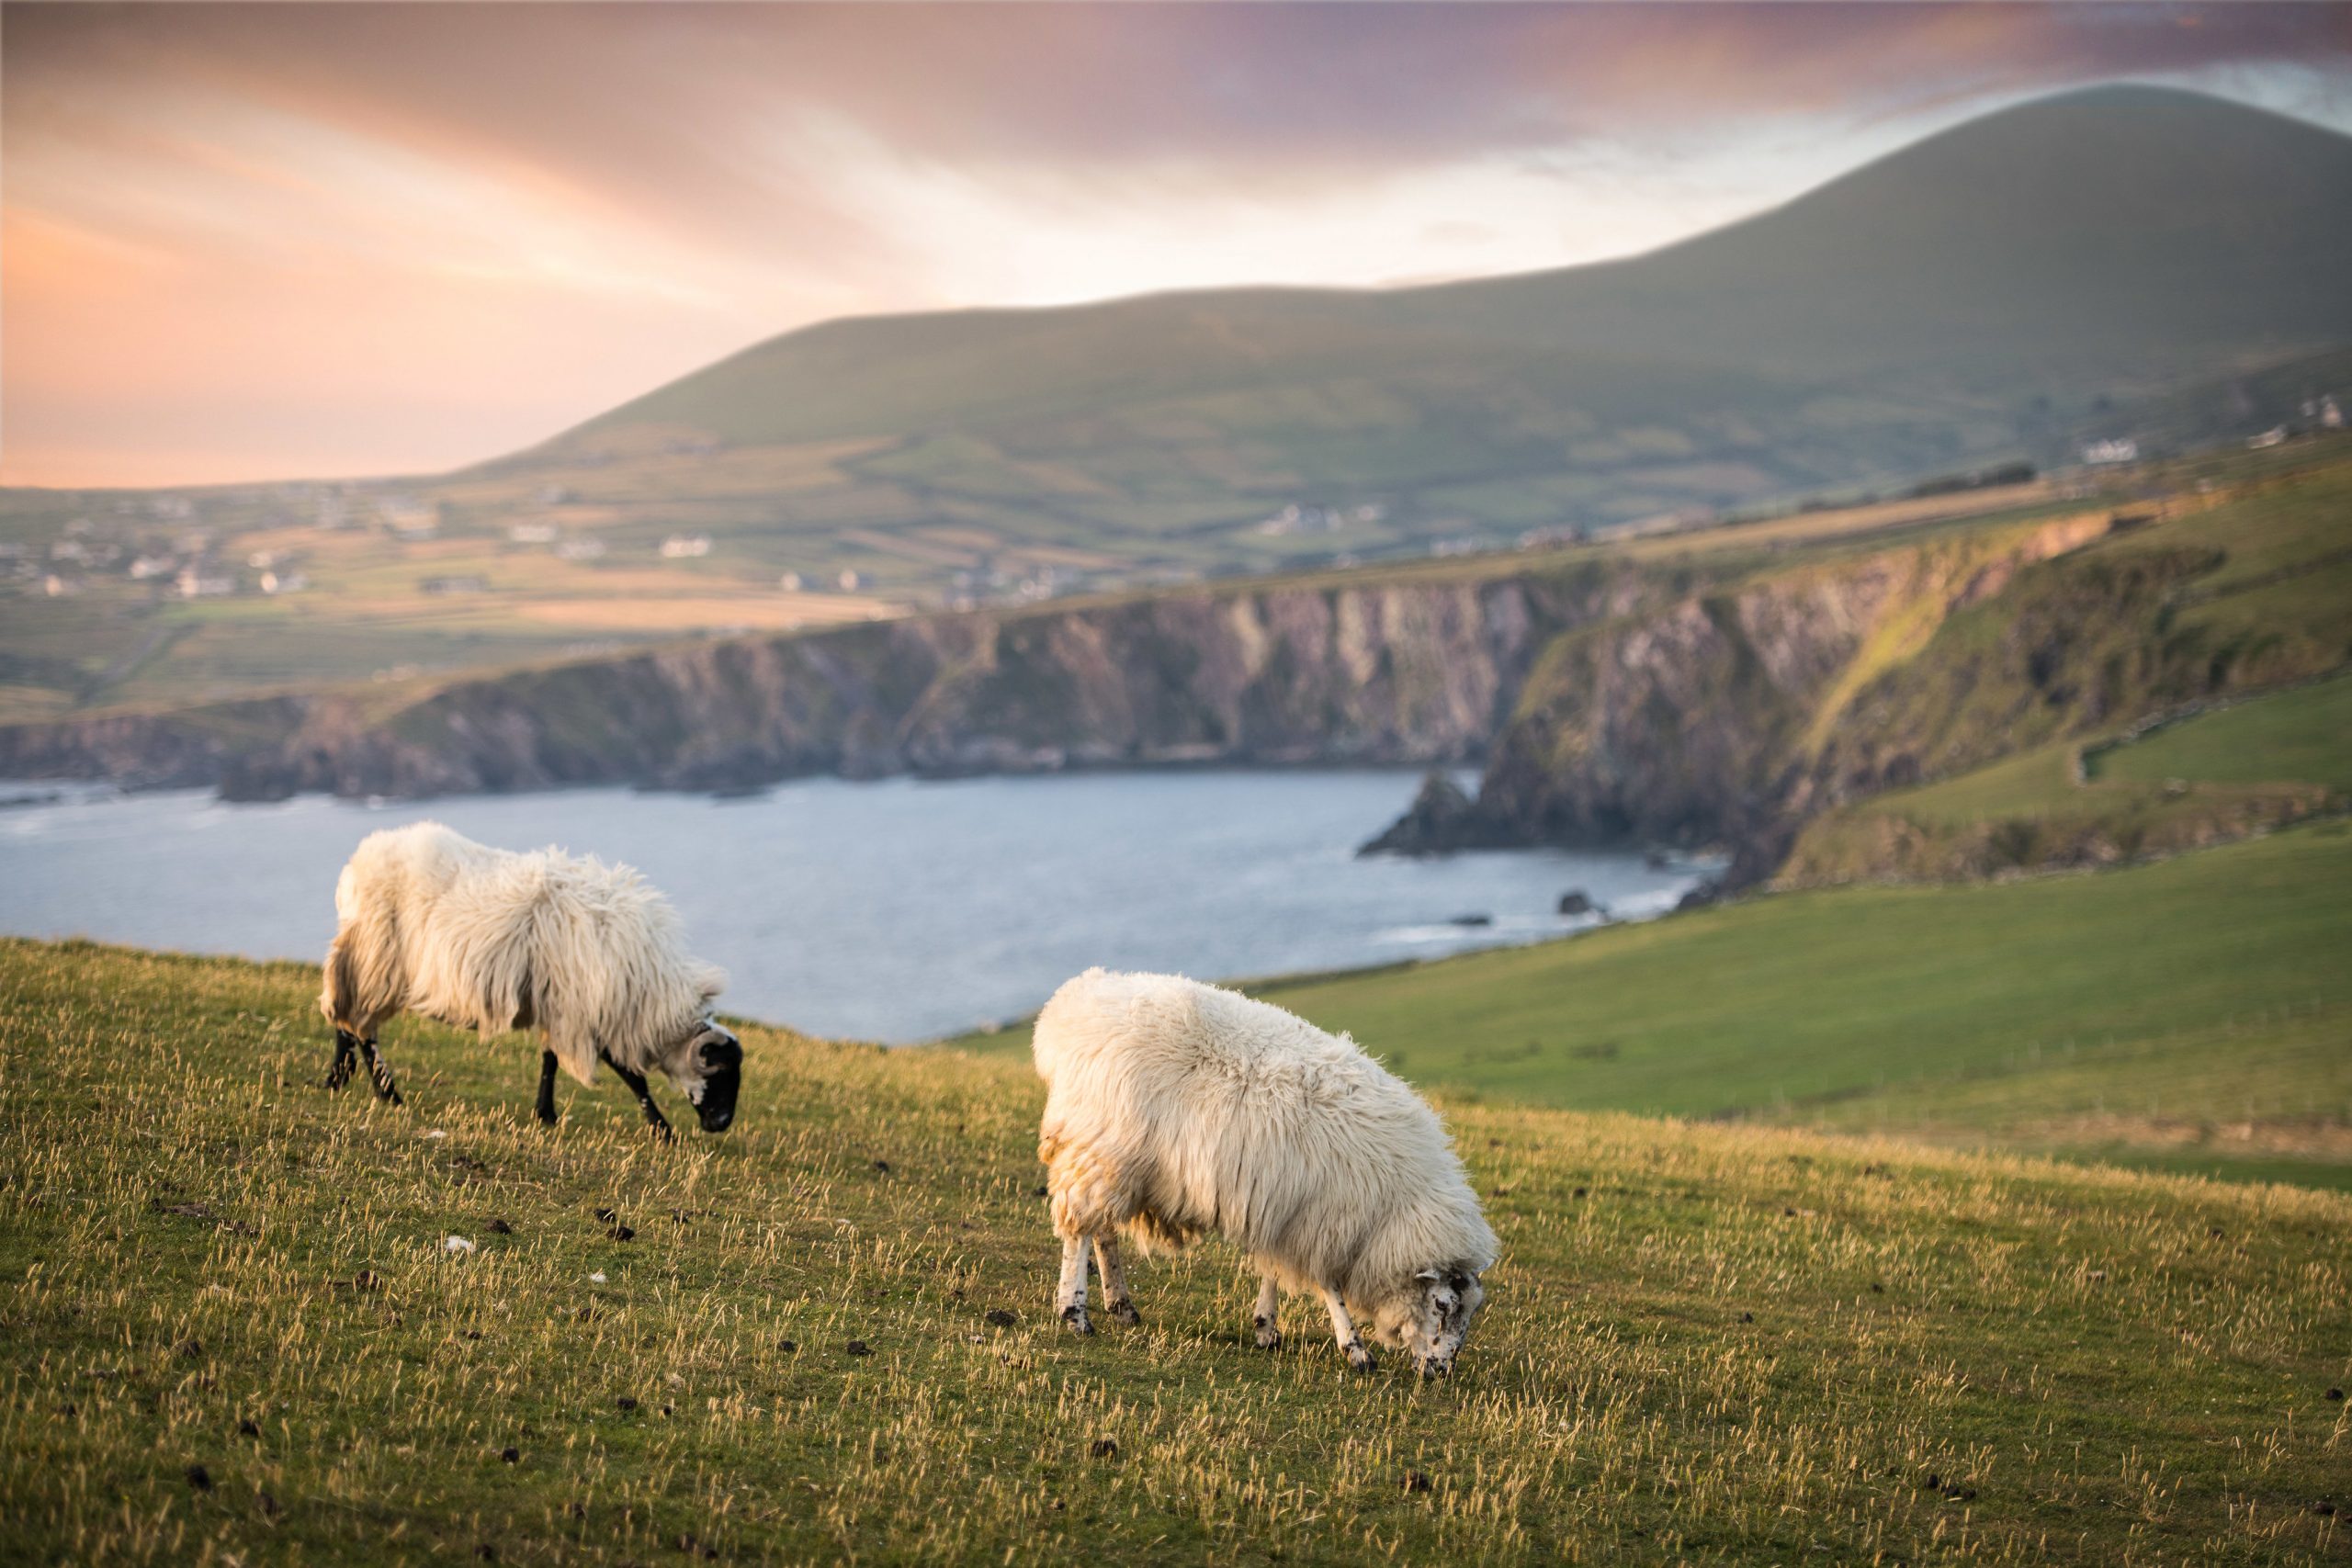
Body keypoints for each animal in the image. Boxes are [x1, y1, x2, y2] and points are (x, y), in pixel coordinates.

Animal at [319, 821, 741, 1138]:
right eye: (722, 1073)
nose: (721, 1124)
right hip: (377, 958)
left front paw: (545, 1113)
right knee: (361, 1027)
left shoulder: (560, 1004)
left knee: (342, 1014)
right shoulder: (586, 1009)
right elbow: (630, 1075)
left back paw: (339, 1077)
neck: (648, 992)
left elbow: (549, 1058)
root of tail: (356, 863)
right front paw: (661, 1129)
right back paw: (386, 1092)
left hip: (361, 957)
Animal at [1033, 968, 1497, 1376]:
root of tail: (1070, 1007)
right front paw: (1355, 1348)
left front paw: (1266, 1328)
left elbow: (1273, 1268)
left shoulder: (1286, 1207)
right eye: (1442, 1305)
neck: (1397, 1209)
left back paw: (1121, 1305)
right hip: (1102, 1150)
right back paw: (1075, 1312)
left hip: (1117, 1161)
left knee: (1103, 1231)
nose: (1441, 1371)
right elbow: (1330, 1287)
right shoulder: (1325, 1218)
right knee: (1079, 1231)